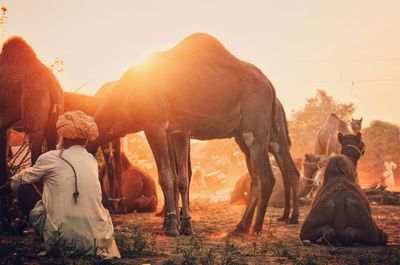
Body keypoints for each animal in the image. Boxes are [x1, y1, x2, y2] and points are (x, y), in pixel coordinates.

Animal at [85, 32, 278, 235]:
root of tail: (269, 85)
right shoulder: (178, 130)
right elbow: (181, 178)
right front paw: (184, 224)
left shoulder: (154, 124)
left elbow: (166, 177)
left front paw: (171, 225)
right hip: (243, 136)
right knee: (264, 177)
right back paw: (250, 226)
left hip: (255, 131)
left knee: (260, 178)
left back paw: (246, 227)